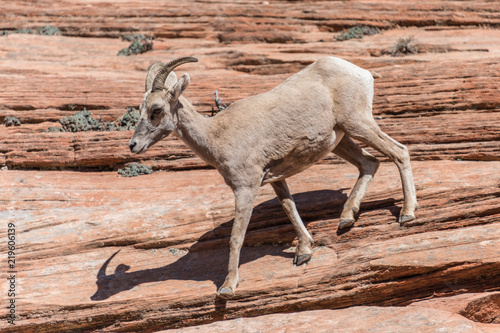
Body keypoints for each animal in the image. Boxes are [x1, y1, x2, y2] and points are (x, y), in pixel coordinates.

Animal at [128, 55, 418, 296]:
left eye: (156, 110)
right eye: (139, 109)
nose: (133, 145)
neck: (217, 135)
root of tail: (362, 72)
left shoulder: (245, 188)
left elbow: (236, 237)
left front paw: (227, 287)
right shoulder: (277, 179)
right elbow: (290, 208)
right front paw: (303, 253)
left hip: (358, 124)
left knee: (399, 152)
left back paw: (407, 214)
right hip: (341, 139)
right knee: (369, 163)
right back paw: (347, 218)